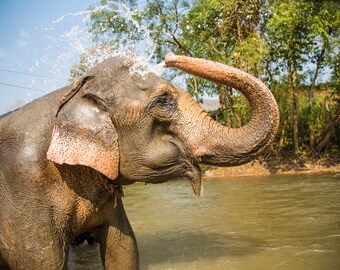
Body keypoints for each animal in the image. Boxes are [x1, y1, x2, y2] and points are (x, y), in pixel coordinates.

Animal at [0, 52, 278, 268]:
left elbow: (123, 247)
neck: (72, 92)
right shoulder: (24, 187)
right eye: (164, 101)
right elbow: (42, 261)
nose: (168, 57)